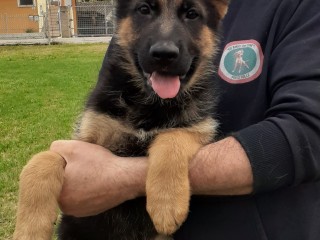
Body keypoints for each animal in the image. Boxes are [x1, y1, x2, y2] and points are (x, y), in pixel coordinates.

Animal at [13, 0, 228, 240]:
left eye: (192, 14)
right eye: (144, 10)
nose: (164, 54)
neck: (149, 103)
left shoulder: (200, 128)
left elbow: (172, 138)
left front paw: (167, 203)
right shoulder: (83, 140)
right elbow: (44, 159)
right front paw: (29, 229)